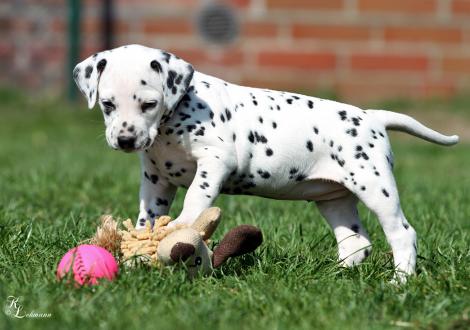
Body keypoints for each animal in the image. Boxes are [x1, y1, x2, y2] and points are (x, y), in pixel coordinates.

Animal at [73, 44, 458, 282]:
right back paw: (337, 275)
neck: (177, 113)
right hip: (334, 199)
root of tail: (372, 117)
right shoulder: (156, 179)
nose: (125, 140)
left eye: (149, 104)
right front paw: (140, 247)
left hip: (375, 186)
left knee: (402, 233)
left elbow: (196, 198)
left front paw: (180, 227)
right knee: (355, 241)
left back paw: (400, 281)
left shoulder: (214, 161)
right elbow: (148, 216)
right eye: (107, 104)